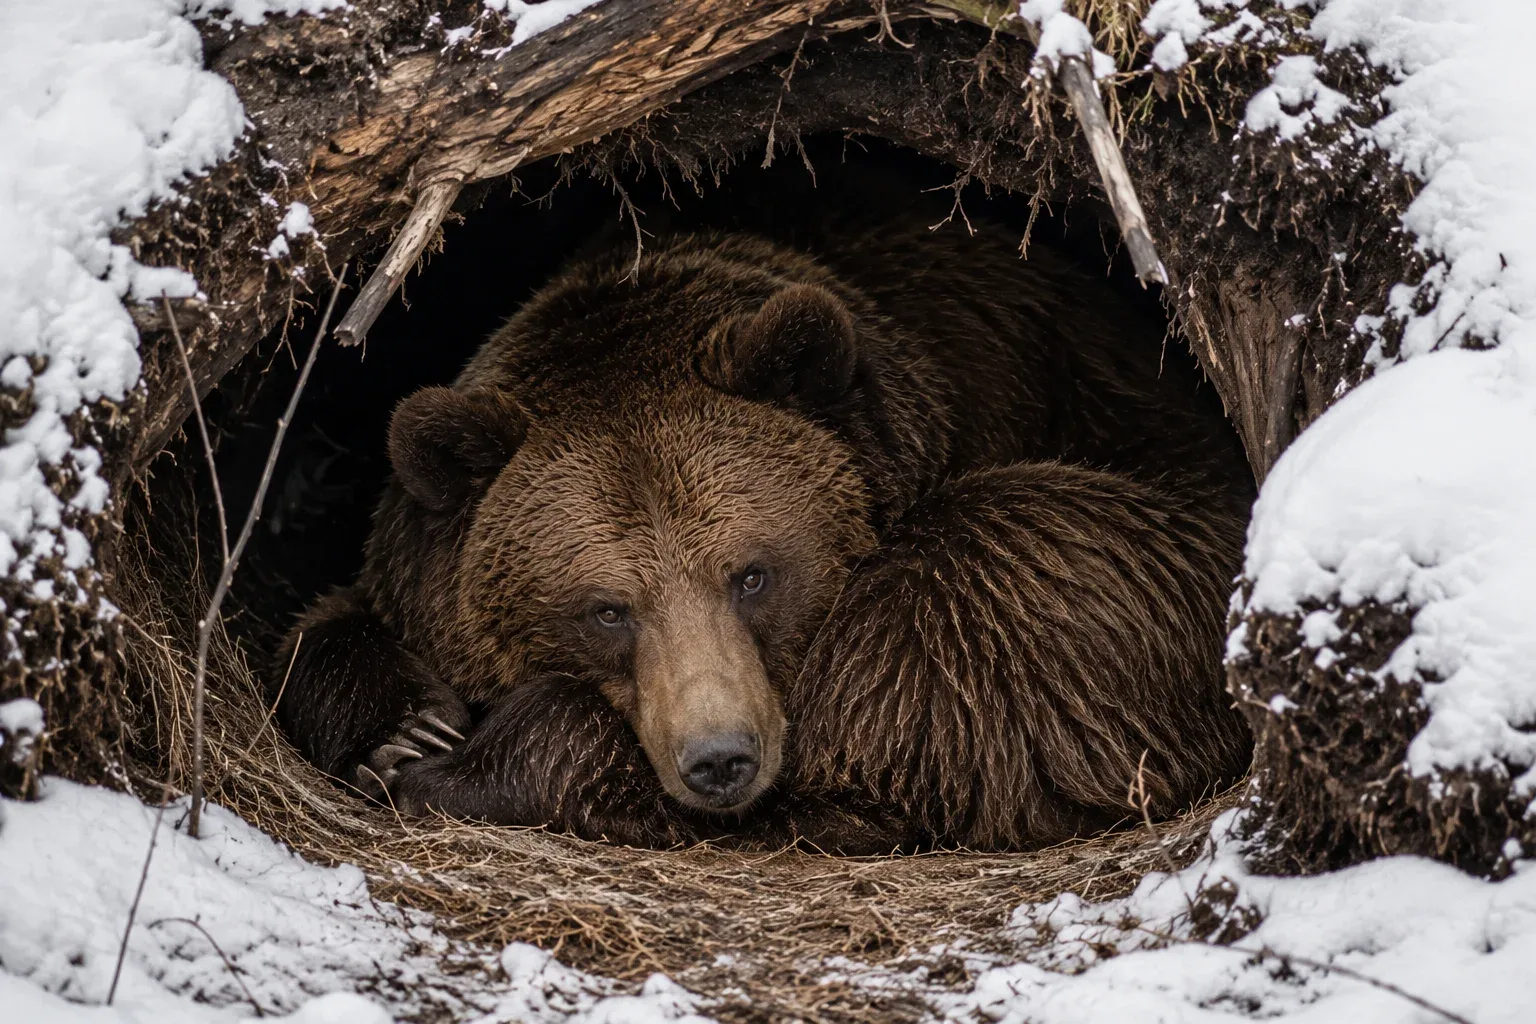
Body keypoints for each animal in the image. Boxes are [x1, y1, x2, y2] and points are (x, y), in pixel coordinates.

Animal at [272, 211, 1255, 853]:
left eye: (752, 574)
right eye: (606, 608)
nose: (719, 759)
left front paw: (444, 760)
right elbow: (327, 627)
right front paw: (405, 729)